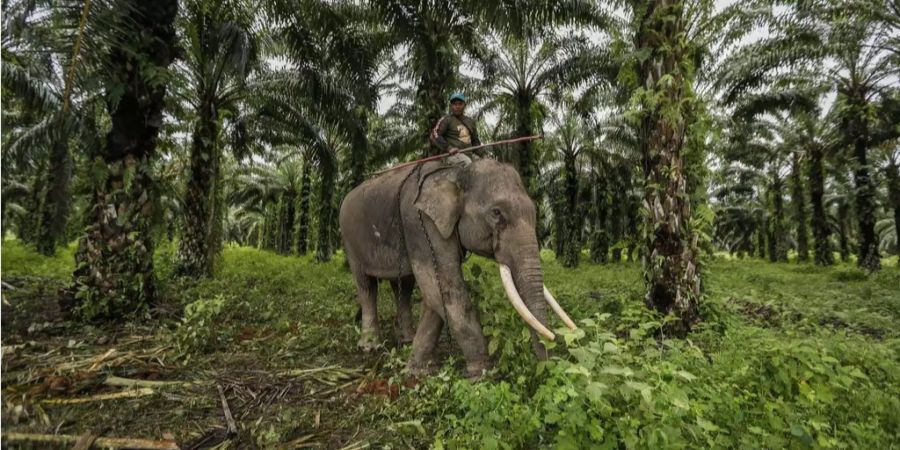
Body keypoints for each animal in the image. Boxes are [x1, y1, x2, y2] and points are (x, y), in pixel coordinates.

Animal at [338, 156, 576, 378]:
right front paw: (483, 374)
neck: (456, 172)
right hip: (350, 240)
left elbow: (435, 293)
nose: (547, 368)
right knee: (367, 286)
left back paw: (406, 339)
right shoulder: (420, 222)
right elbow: (447, 288)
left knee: (403, 287)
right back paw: (370, 346)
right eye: (496, 213)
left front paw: (418, 369)